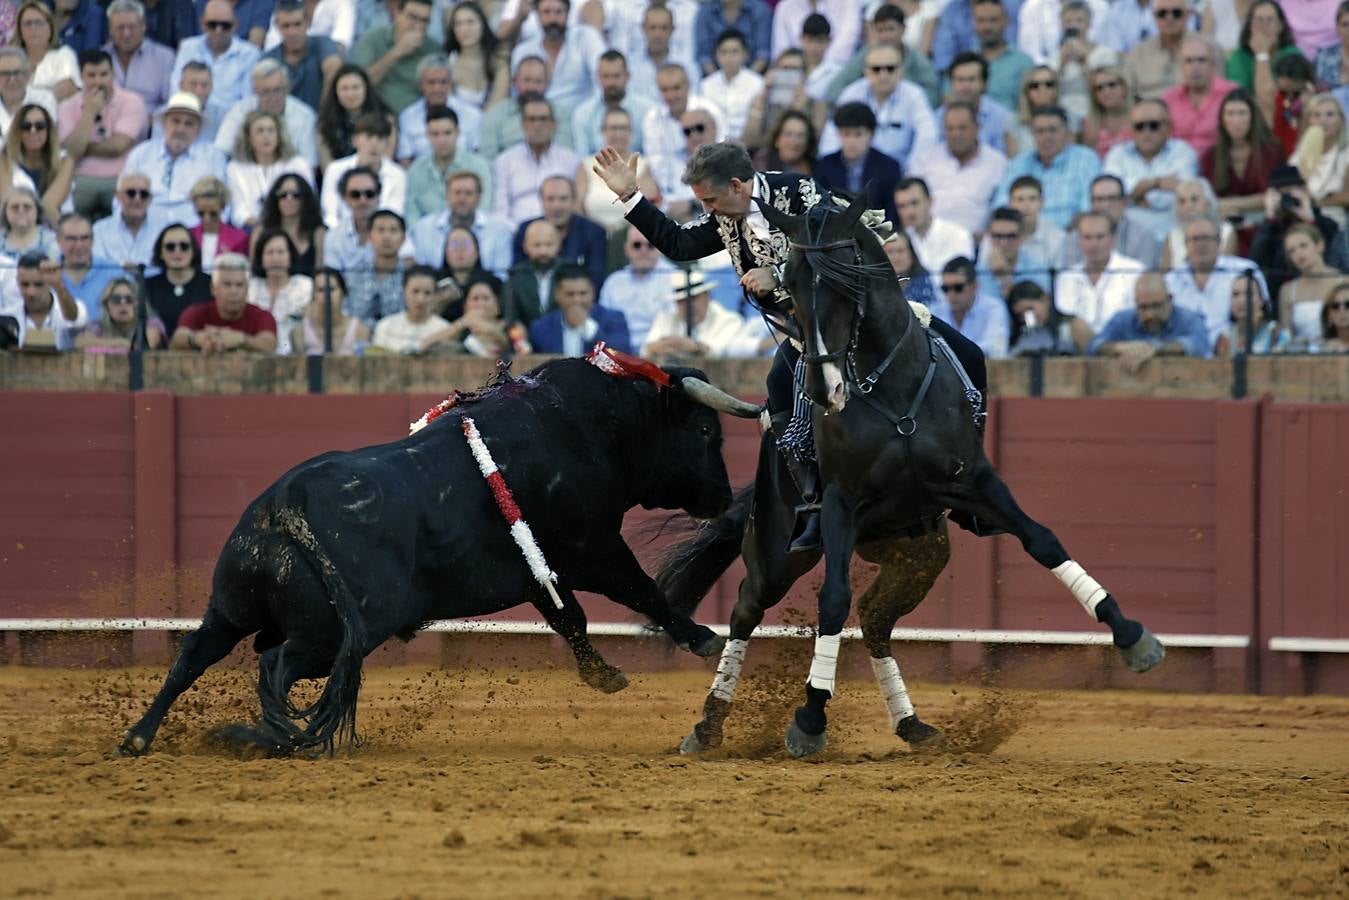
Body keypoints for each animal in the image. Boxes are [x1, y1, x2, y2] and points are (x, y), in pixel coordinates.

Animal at [114, 356, 760, 755]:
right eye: (706, 432)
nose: (723, 497)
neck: (588, 424)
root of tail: (284, 508)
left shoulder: (539, 568)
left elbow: (569, 617)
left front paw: (603, 675)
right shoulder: (592, 547)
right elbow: (641, 590)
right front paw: (700, 639)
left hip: (232, 606)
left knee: (193, 656)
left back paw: (139, 737)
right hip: (331, 635)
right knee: (274, 666)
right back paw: (277, 739)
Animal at [652, 198, 1160, 761]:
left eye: (848, 282)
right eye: (792, 283)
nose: (825, 389)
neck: (891, 389)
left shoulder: (976, 481)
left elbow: (1043, 541)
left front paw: (1132, 636)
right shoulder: (840, 503)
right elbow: (833, 599)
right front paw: (809, 719)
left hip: (918, 555)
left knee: (875, 620)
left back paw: (911, 723)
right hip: (779, 549)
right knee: (747, 607)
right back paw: (708, 724)